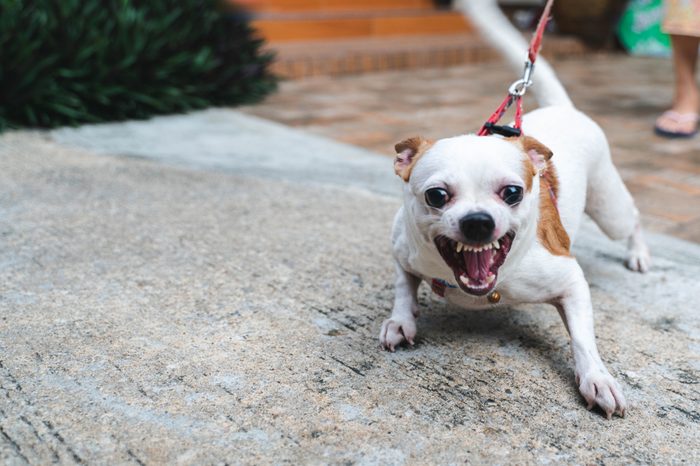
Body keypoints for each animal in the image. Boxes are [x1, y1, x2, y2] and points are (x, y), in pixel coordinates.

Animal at [382, 0, 652, 418]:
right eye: (437, 196)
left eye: (512, 192)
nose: (478, 221)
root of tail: (563, 108)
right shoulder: (402, 250)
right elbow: (403, 286)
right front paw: (401, 320)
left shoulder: (569, 280)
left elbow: (583, 338)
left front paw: (597, 378)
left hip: (610, 208)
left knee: (633, 218)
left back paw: (638, 254)